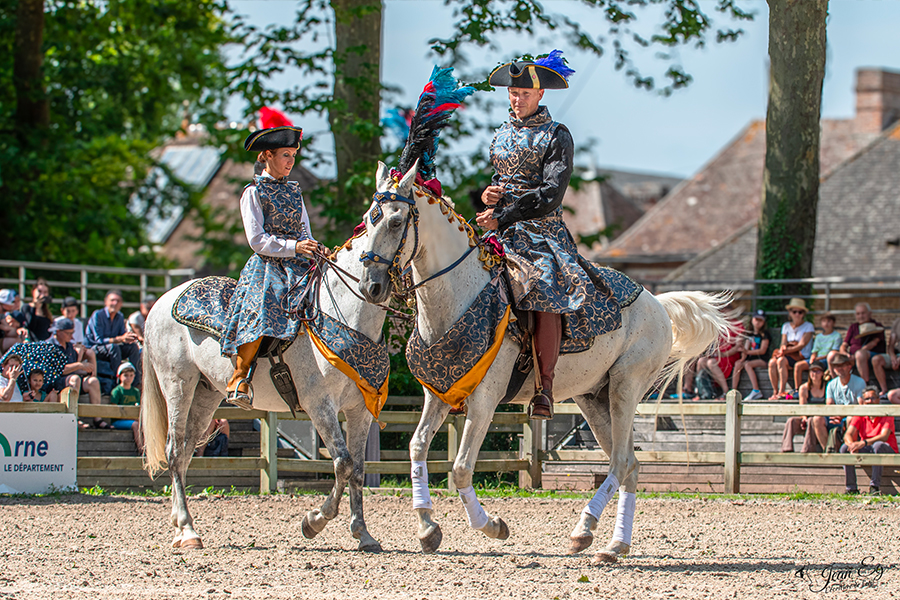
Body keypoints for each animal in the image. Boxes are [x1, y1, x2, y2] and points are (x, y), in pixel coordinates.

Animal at [143, 231, 386, 552]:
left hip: (204, 394)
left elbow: (357, 469)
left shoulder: (359, 411)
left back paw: (180, 526)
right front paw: (314, 521)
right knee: (172, 451)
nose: (375, 289)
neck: (343, 317)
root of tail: (163, 300)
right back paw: (187, 531)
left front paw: (363, 533)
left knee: (183, 453)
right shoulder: (320, 406)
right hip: (177, 386)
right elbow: (343, 464)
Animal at [356, 163, 736, 564]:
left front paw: (492, 526)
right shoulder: (438, 395)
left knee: (619, 461)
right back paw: (614, 545)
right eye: (368, 219)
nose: (370, 287)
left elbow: (460, 469)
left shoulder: (484, 402)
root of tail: (657, 304)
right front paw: (428, 527)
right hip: (594, 399)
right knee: (630, 465)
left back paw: (583, 530)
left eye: (396, 221)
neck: (460, 297)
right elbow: (417, 448)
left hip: (625, 388)